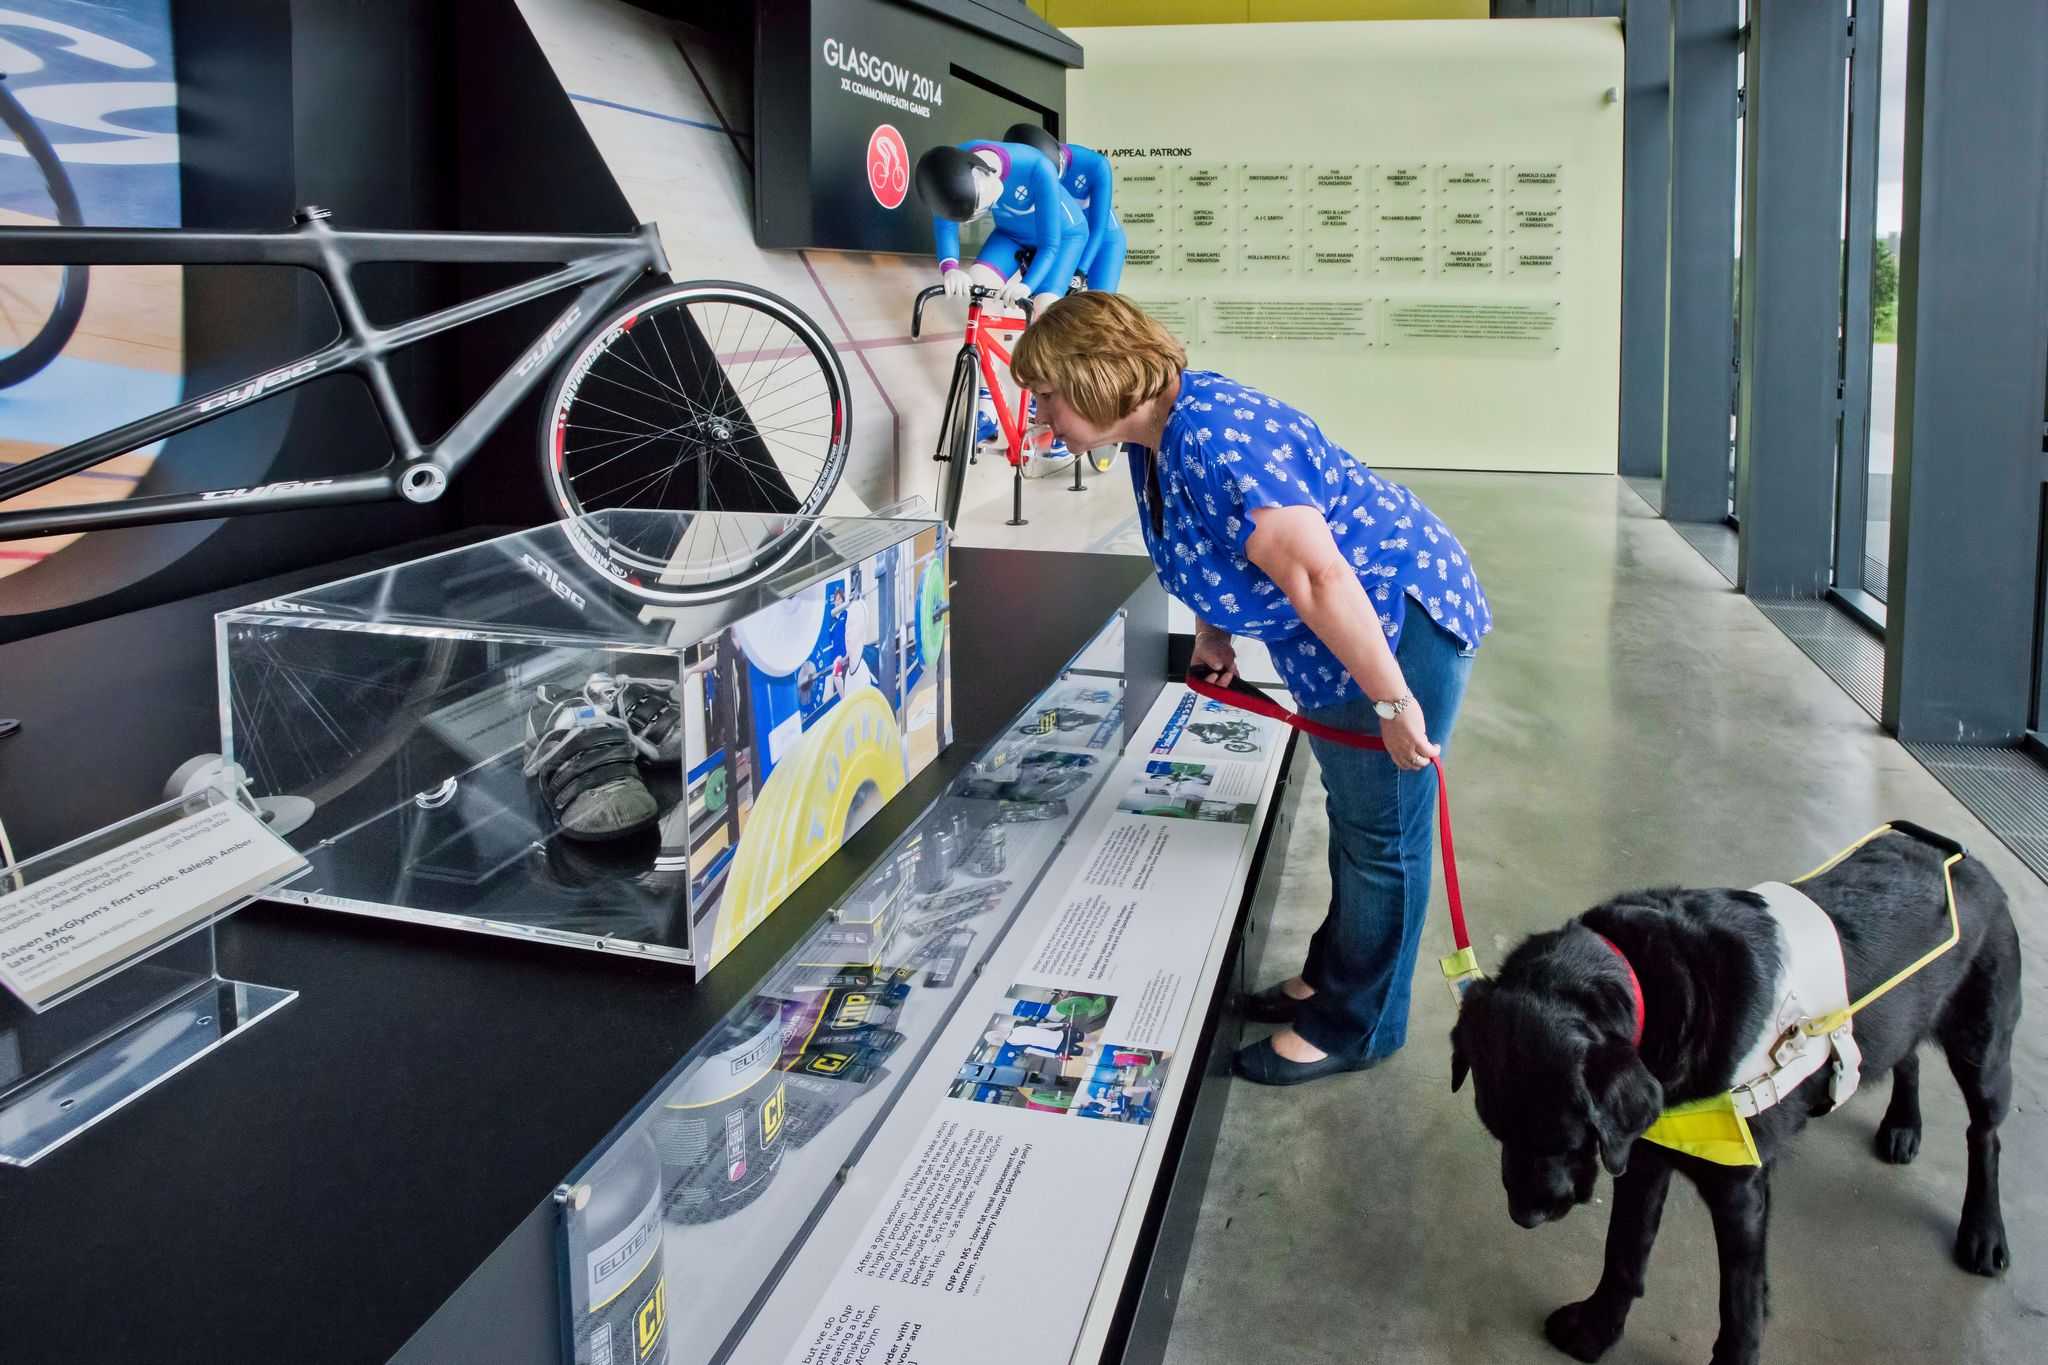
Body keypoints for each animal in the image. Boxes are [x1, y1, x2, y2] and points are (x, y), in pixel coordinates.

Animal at [1458, 826, 2015, 1365]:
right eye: (1496, 1130)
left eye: (1567, 1139)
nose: (1525, 1215)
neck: (1654, 984)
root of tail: (1968, 864)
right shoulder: (1648, 1153)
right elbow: (1624, 1253)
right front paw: (1597, 1331)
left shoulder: (1739, 1190)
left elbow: (1740, 1305)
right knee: (1909, 1053)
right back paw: (1903, 1125)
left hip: (1983, 1049)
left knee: (1984, 1134)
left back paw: (1984, 1232)